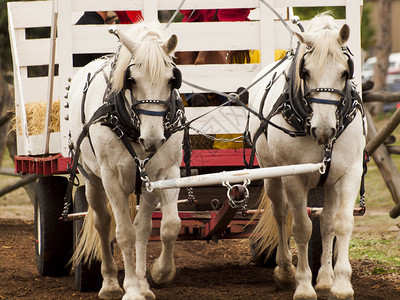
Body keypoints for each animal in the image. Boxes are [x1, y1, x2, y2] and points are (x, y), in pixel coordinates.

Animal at [68, 22, 184, 298]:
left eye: (172, 79)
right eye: (131, 80)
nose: (152, 140)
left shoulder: (164, 174)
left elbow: (165, 226)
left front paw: (157, 275)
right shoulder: (111, 177)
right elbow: (124, 233)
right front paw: (130, 288)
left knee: (142, 227)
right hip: (93, 179)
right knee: (102, 223)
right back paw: (110, 283)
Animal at [250, 12, 366, 298]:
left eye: (345, 72)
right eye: (305, 72)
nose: (324, 130)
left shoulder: (350, 173)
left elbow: (341, 223)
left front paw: (341, 283)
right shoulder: (293, 177)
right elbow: (301, 227)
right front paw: (303, 285)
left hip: (330, 182)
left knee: (326, 221)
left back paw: (324, 278)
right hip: (271, 174)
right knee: (281, 214)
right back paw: (284, 271)